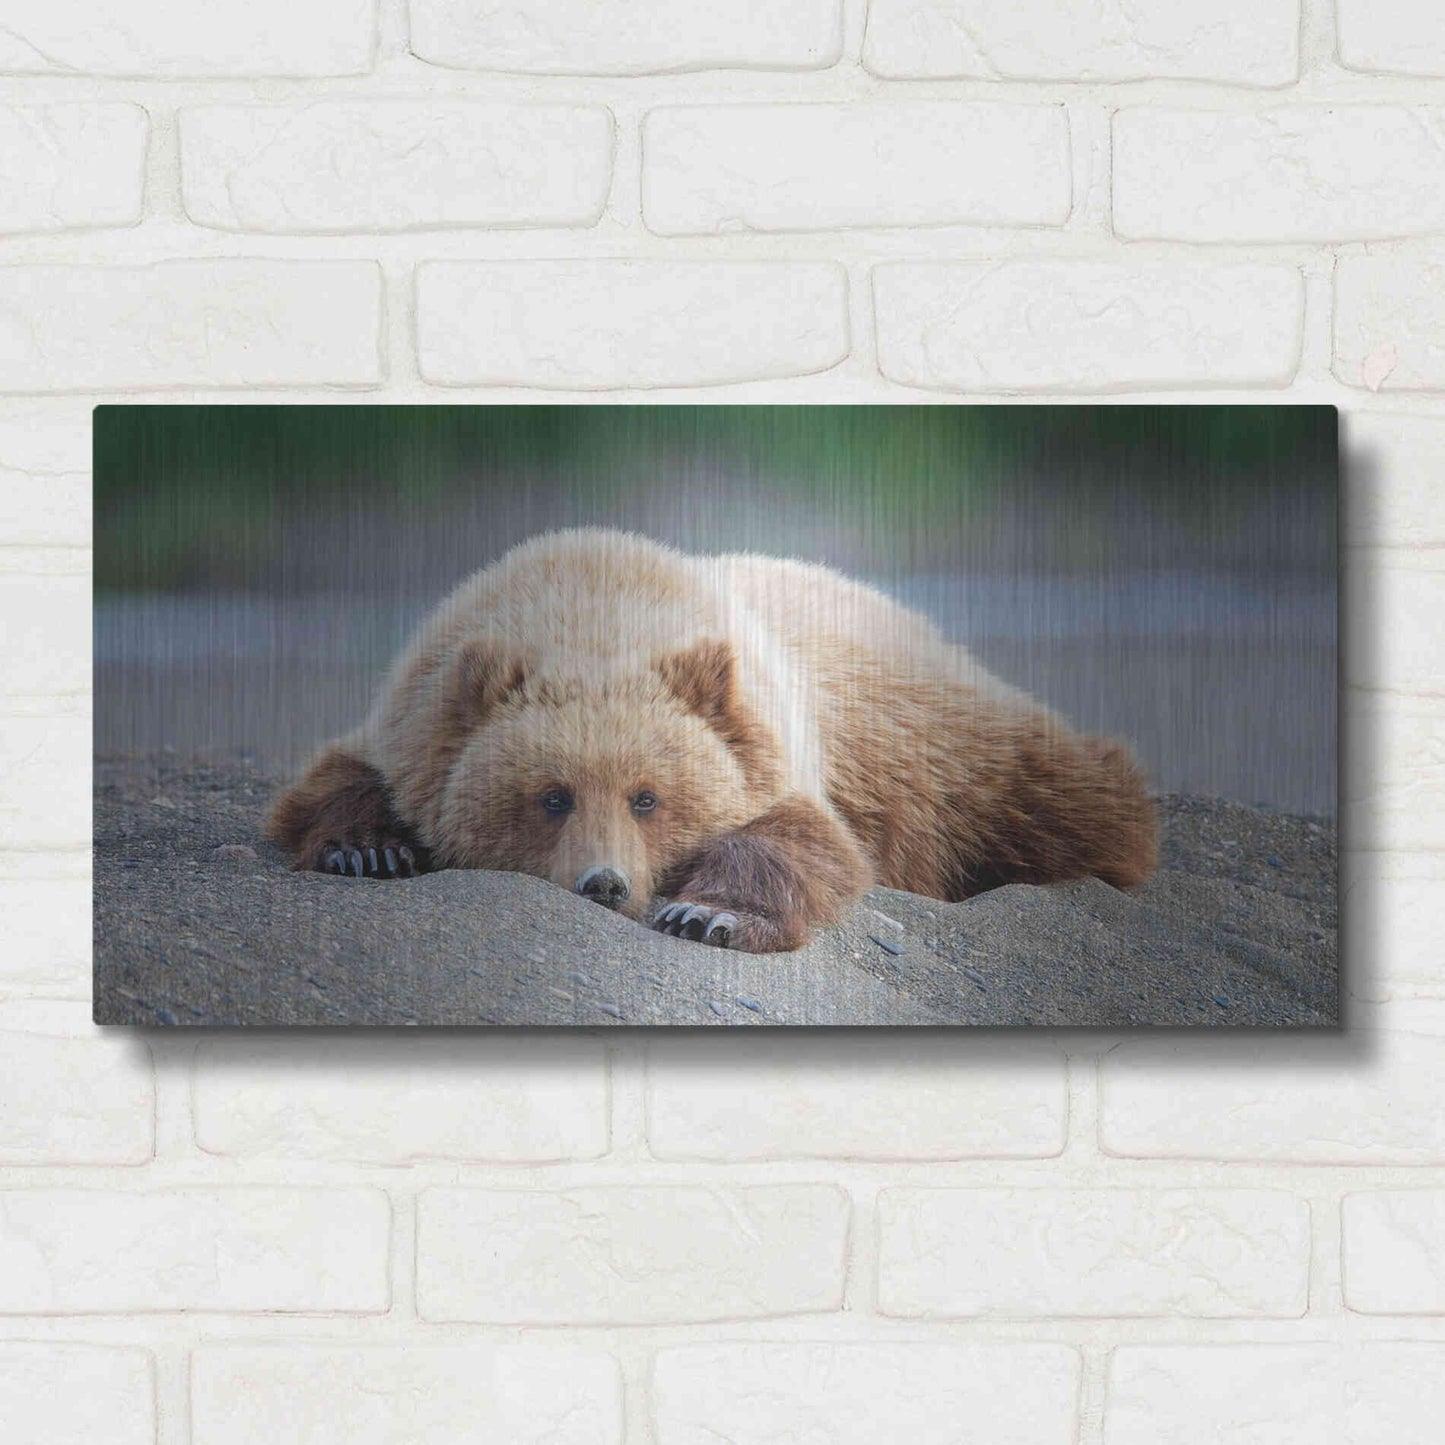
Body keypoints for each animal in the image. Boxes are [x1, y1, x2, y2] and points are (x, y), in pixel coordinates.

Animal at [268, 528, 1158, 953]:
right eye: (551, 796)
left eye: (647, 796)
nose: (603, 883)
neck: (590, 609)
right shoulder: (417, 712)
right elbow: (337, 778)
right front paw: (367, 848)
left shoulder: (773, 740)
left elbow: (800, 841)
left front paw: (706, 913)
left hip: (939, 745)